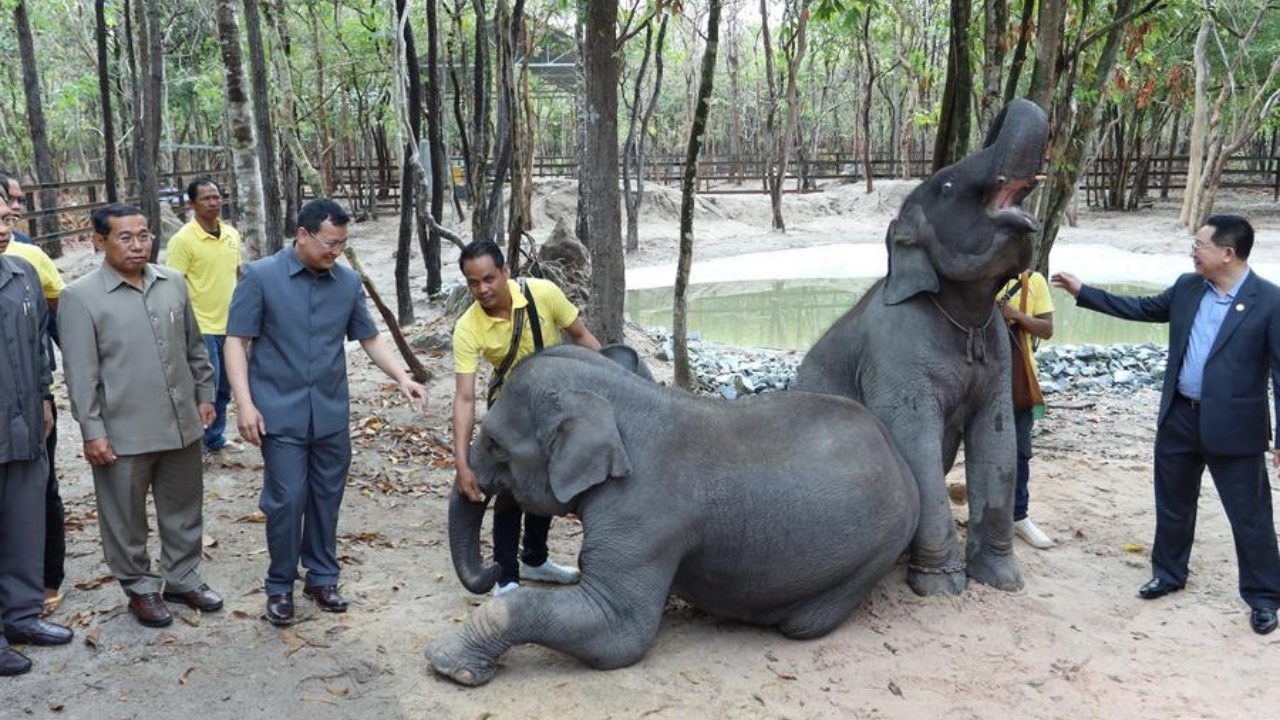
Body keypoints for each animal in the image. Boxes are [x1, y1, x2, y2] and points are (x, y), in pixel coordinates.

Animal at [427, 343, 921, 681]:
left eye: (495, 444)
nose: (493, 570)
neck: (624, 399)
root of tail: (899, 457)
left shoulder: (644, 517)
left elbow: (620, 632)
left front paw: (447, 662)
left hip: (875, 550)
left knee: (803, 624)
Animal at [788, 99, 1049, 594]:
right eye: (947, 185)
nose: (1008, 106)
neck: (962, 311)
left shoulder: (997, 353)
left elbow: (999, 439)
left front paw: (1004, 580)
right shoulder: (893, 355)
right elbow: (915, 443)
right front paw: (941, 587)